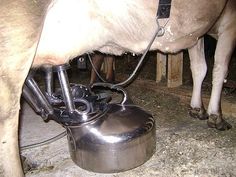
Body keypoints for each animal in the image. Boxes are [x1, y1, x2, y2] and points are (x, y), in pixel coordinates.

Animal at [0, 0, 235, 177]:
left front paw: (197, 108)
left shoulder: (197, 33)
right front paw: (216, 116)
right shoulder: (229, 23)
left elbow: (198, 67)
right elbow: (219, 69)